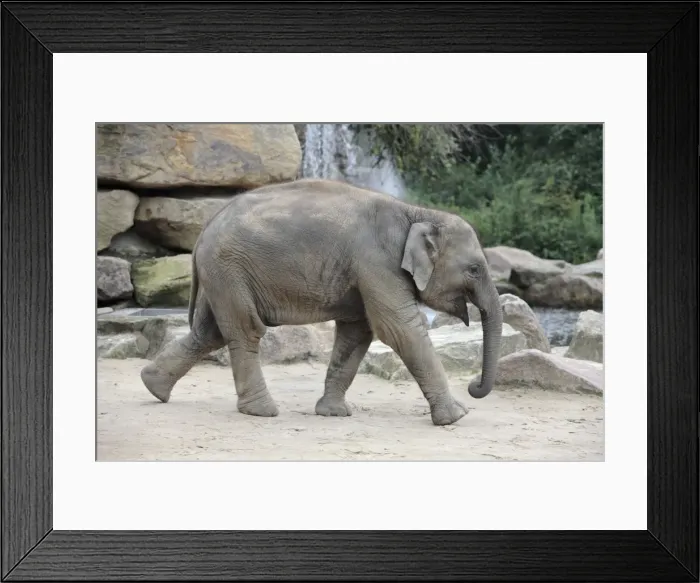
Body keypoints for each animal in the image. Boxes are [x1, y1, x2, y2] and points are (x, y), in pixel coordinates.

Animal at [140, 178, 503, 426]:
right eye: (474, 269)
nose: (473, 386)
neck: (417, 213)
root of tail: (206, 226)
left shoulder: (366, 271)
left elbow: (357, 332)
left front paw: (333, 413)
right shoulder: (377, 263)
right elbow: (399, 329)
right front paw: (457, 416)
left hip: (220, 274)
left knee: (208, 332)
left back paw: (154, 388)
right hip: (229, 268)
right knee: (245, 329)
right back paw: (261, 411)